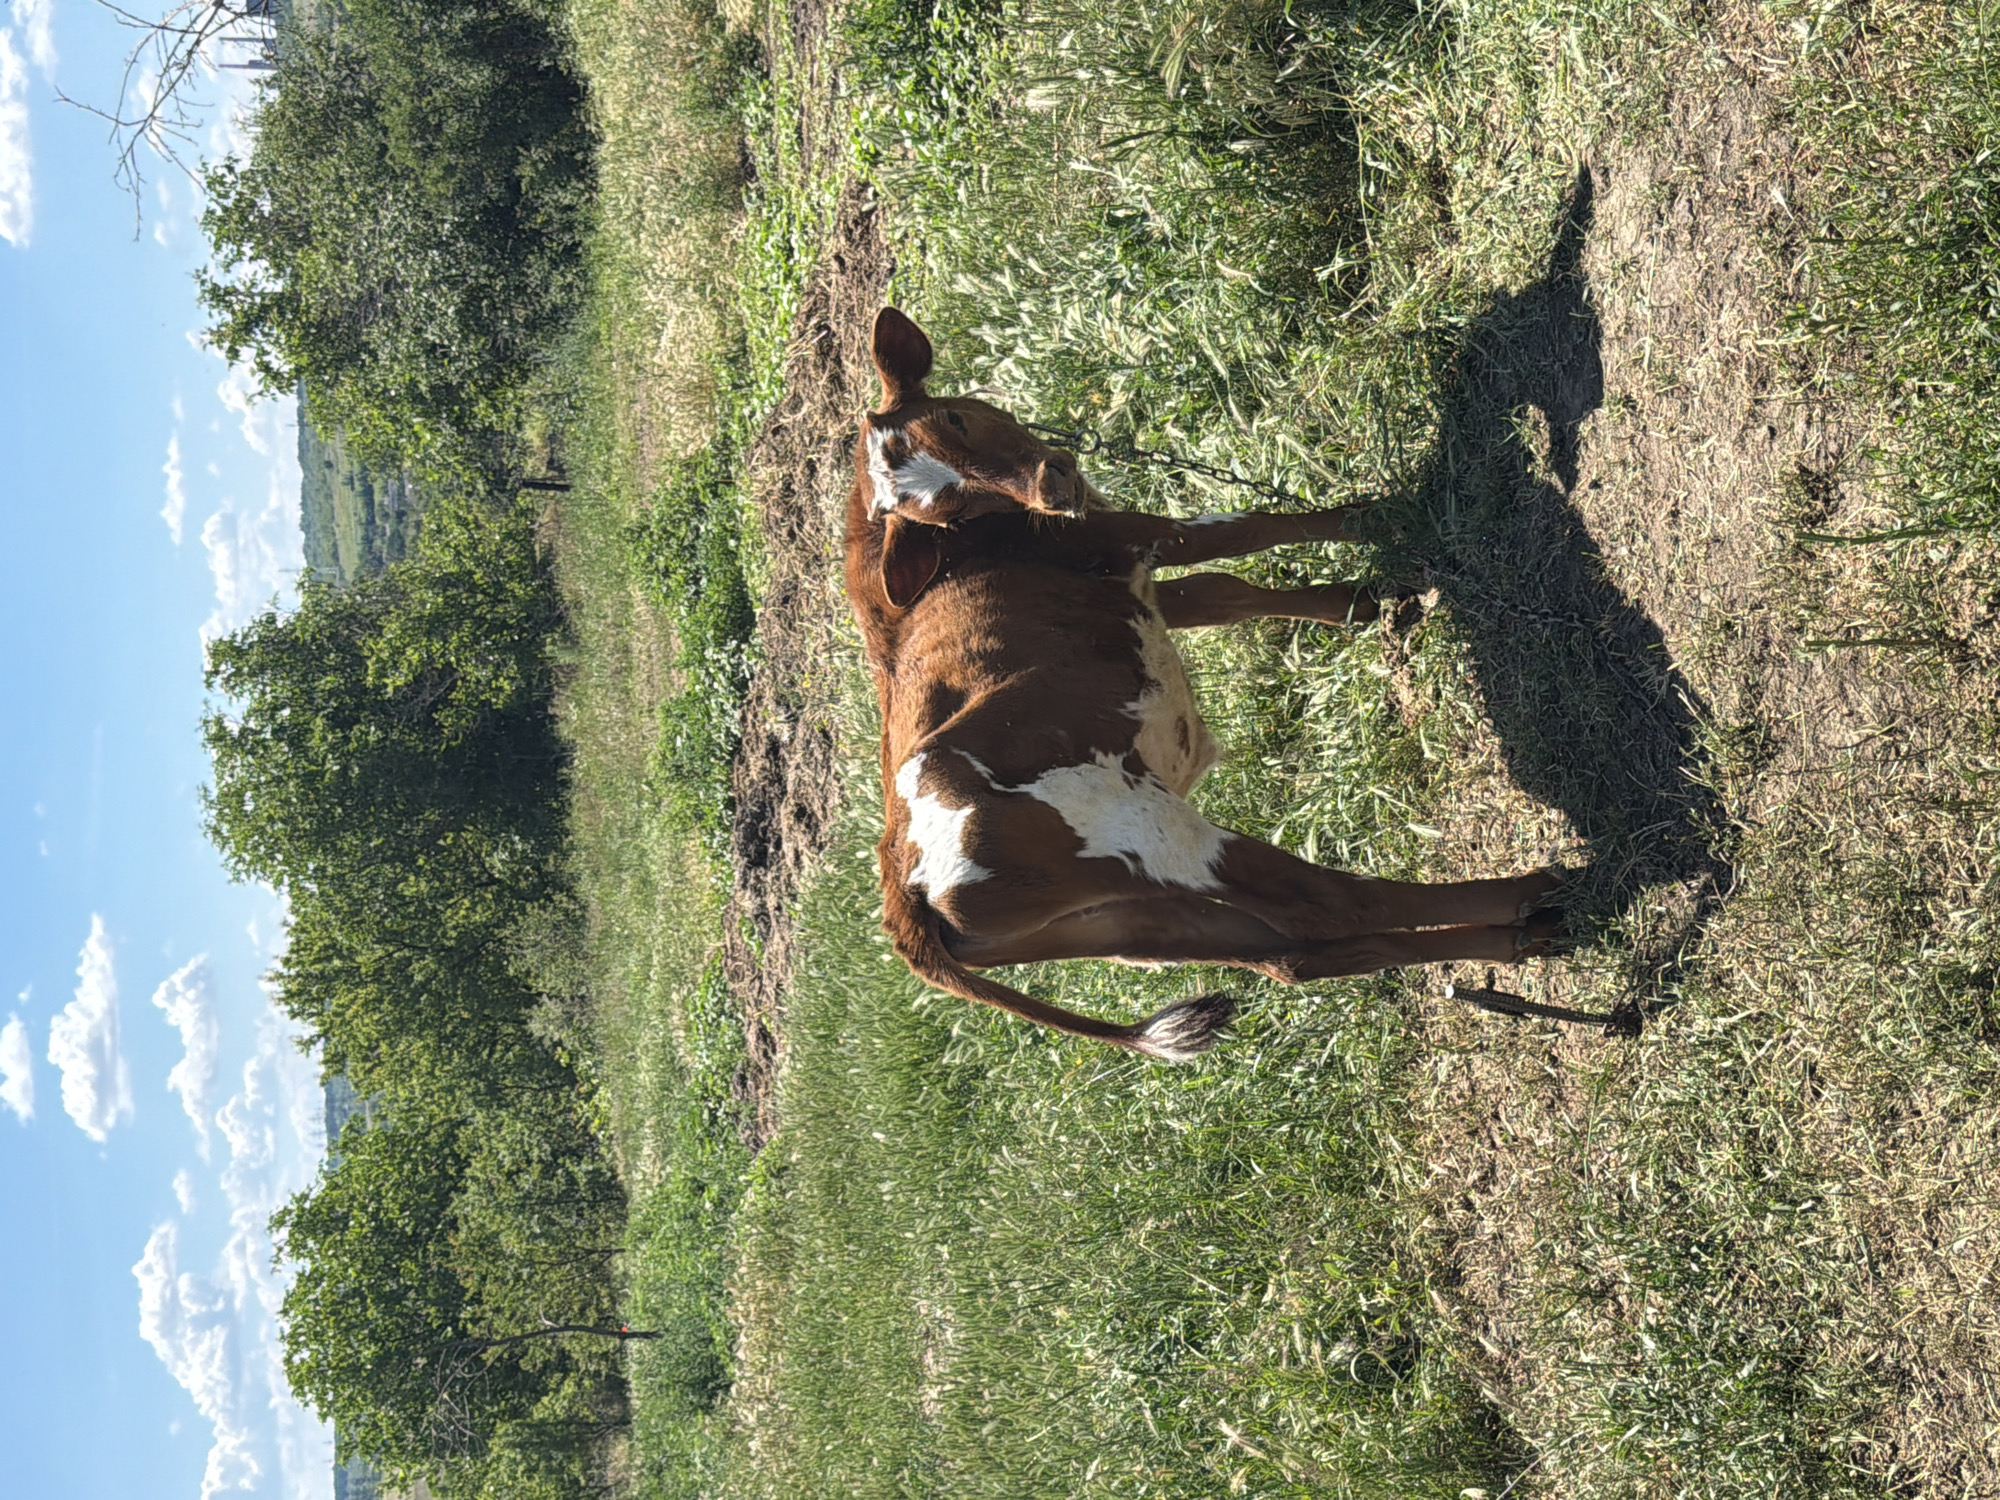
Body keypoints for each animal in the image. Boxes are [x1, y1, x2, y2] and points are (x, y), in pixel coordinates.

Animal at [844, 307, 1563, 1061]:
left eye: (954, 419)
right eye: (946, 511)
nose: (1053, 481)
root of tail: (901, 891)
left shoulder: (1131, 586)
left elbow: (1224, 592)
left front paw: (1363, 601)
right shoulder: (1126, 536)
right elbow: (1244, 532)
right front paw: (1382, 512)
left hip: (1128, 925)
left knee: (1290, 952)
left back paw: (1525, 939)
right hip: (1144, 829)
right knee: (1333, 904)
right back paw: (1536, 890)